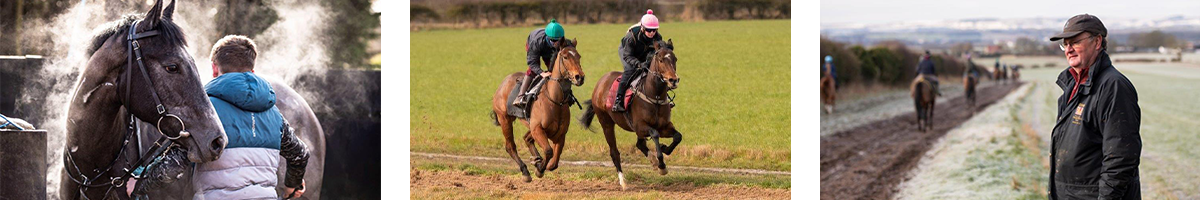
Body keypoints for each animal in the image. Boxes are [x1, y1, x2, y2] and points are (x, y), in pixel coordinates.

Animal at [484, 38, 583, 182]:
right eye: (565, 57)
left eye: (578, 56)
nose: (579, 77)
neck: (555, 100)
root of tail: (503, 83)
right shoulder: (538, 129)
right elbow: (548, 151)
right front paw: (539, 168)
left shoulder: (559, 133)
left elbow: (554, 161)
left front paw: (540, 164)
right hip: (505, 119)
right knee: (510, 146)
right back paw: (525, 171)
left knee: (526, 138)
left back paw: (536, 159)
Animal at [580, 39, 686, 190]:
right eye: (660, 60)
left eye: (675, 59)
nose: (673, 80)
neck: (655, 96)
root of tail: (600, 83)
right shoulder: (640, 126)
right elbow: (655, 134)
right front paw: (661, 165)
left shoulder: (664, 125)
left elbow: (677, 136)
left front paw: (664, 149)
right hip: (606, 123)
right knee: (614, 152)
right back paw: (623, 182)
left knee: (640, 144)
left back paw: (652, 161)